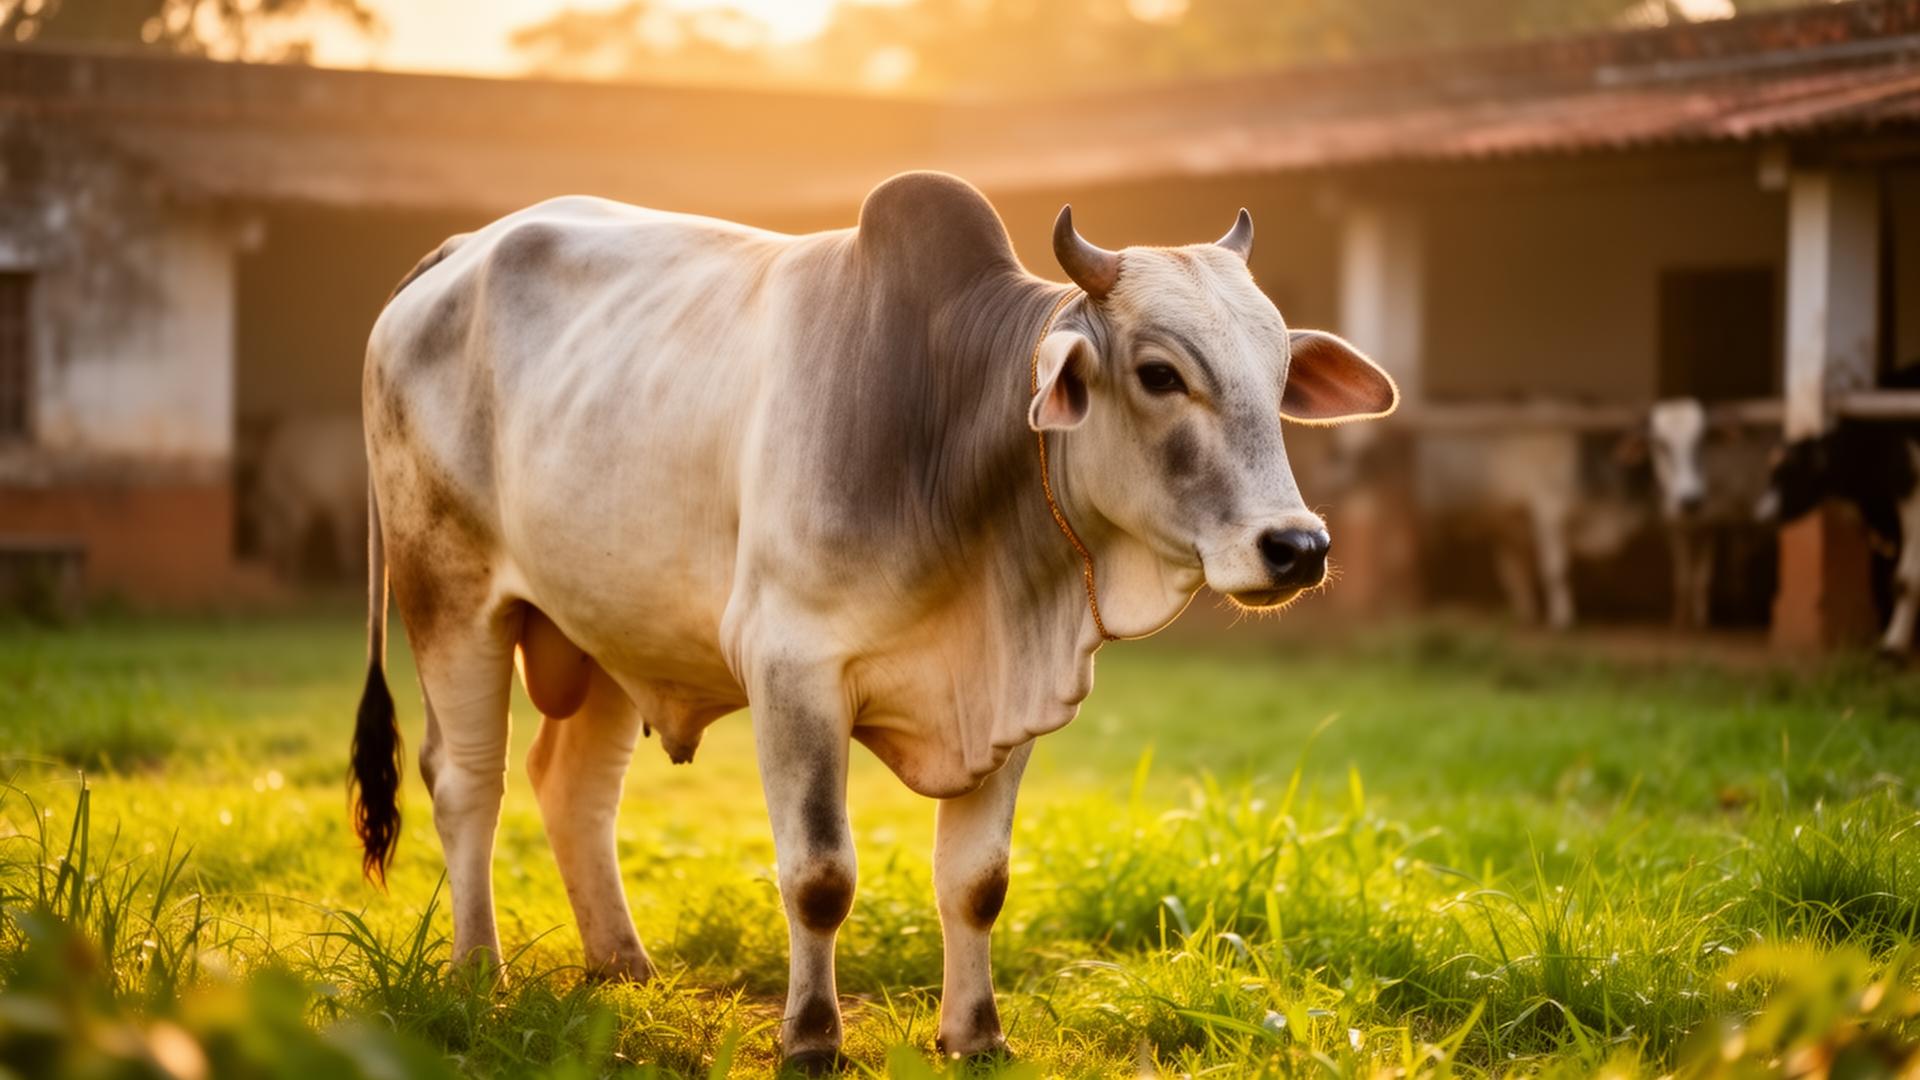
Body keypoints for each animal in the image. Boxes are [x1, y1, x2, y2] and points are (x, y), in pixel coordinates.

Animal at [350, 172, 1397, 1068]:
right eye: (1159, 373)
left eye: (1278, 374)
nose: (1297, 546)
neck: (946, 438)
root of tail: (457, 253)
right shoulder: (793, 671)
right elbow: (820, 876)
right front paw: (812, 1040)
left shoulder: (1015, 697)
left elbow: (977, 882)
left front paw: (975, 1035)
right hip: (450, 593)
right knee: (467, 780)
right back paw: (478, 975)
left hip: (607, 623)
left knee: (571, 788)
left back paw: (625, 971)